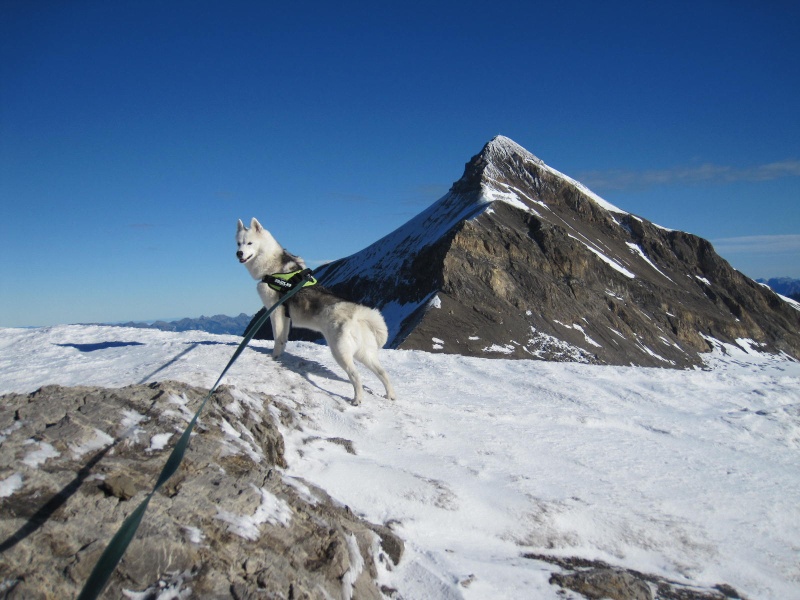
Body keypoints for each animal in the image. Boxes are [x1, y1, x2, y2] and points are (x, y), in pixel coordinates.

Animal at [234, 218, 396, 406]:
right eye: (239, 243)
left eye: (250, 243)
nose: (239, 253)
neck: (272, 265)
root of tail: (358, 314)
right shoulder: (286, 317)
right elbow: (283, 339)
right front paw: (280, 356)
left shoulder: (275, 312)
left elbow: (277, 339)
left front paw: (274, 357)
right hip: (364, 354)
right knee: (383, 373)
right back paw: (390, 395)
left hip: (340, 353)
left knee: (356, 376)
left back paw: (357, 399)